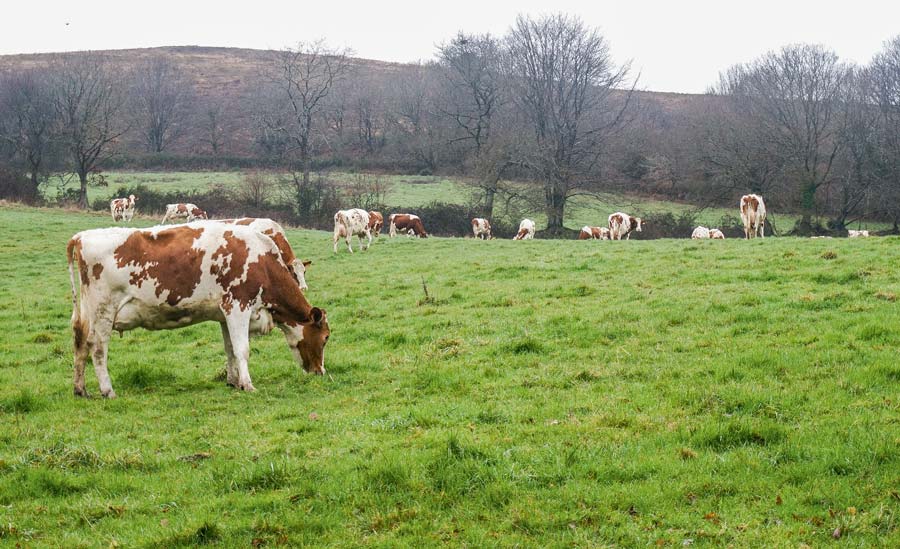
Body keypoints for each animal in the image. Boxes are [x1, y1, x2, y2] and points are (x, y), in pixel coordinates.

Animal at [67, 223, 330, 398]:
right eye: (326, 338)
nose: (321, 372)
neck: (262, 261)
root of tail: (81, 236)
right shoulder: (238, 306)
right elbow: (242, 349)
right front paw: (248, 384)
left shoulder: (224, 313)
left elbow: (230, 349)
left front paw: (233, 381)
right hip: (103, 311)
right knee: (98, 348)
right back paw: (107, 390)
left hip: (86, 313)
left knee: (80, 344)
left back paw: (80, 389)